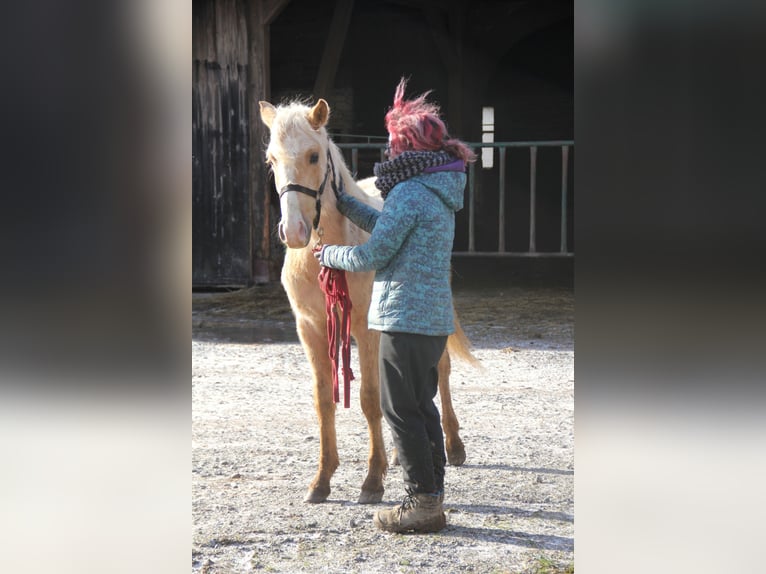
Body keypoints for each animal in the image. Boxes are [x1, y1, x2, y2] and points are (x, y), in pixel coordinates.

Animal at [260, 98, 472, 504]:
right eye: (271, 159)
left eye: (313, 156)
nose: (293, 232)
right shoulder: (310, 329)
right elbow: (324, 400)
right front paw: (321, 480)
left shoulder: (364, 329)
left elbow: (370, 399)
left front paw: (373, 481)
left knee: (441, 372)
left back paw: (454, 447)